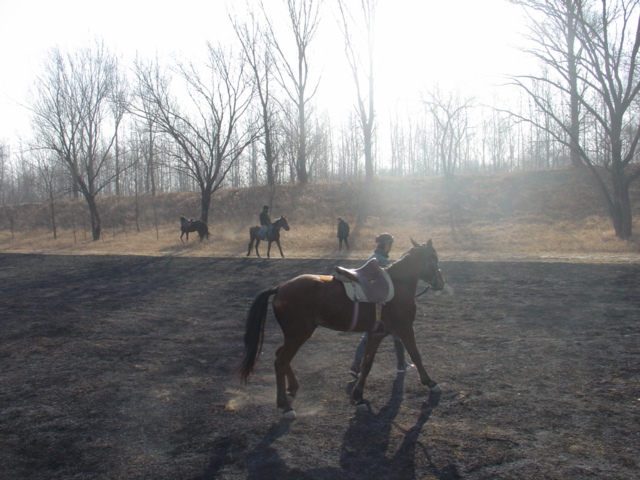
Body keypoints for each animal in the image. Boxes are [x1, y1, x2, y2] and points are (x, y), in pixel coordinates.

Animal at [239, 238, 444, 418]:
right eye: (434, 257)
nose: (441, 283)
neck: (397, 284)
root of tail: (280, 287)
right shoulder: (404, 328)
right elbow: (415, 354)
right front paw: (430, 382)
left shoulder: (376, 334)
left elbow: (367, 364)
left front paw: (359, 397)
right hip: (298, 334)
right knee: (280, 362)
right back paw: (285, 406)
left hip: (294, 334)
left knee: (280, 355)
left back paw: (293, 387)